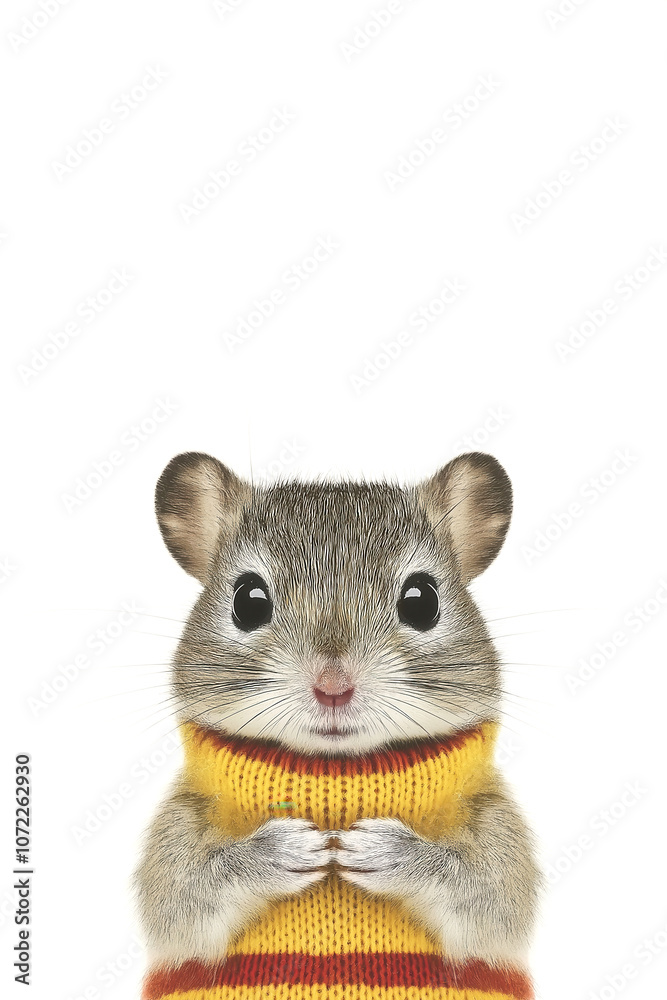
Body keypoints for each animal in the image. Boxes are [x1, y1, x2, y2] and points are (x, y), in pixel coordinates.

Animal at [133, 451, 540, 997]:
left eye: (422, 600)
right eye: (247, 600)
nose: (332, 686)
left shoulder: (499, 838)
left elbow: (488, 897)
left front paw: (392, 851)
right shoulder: (175, 837)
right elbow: (184, 898)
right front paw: (274, 851)